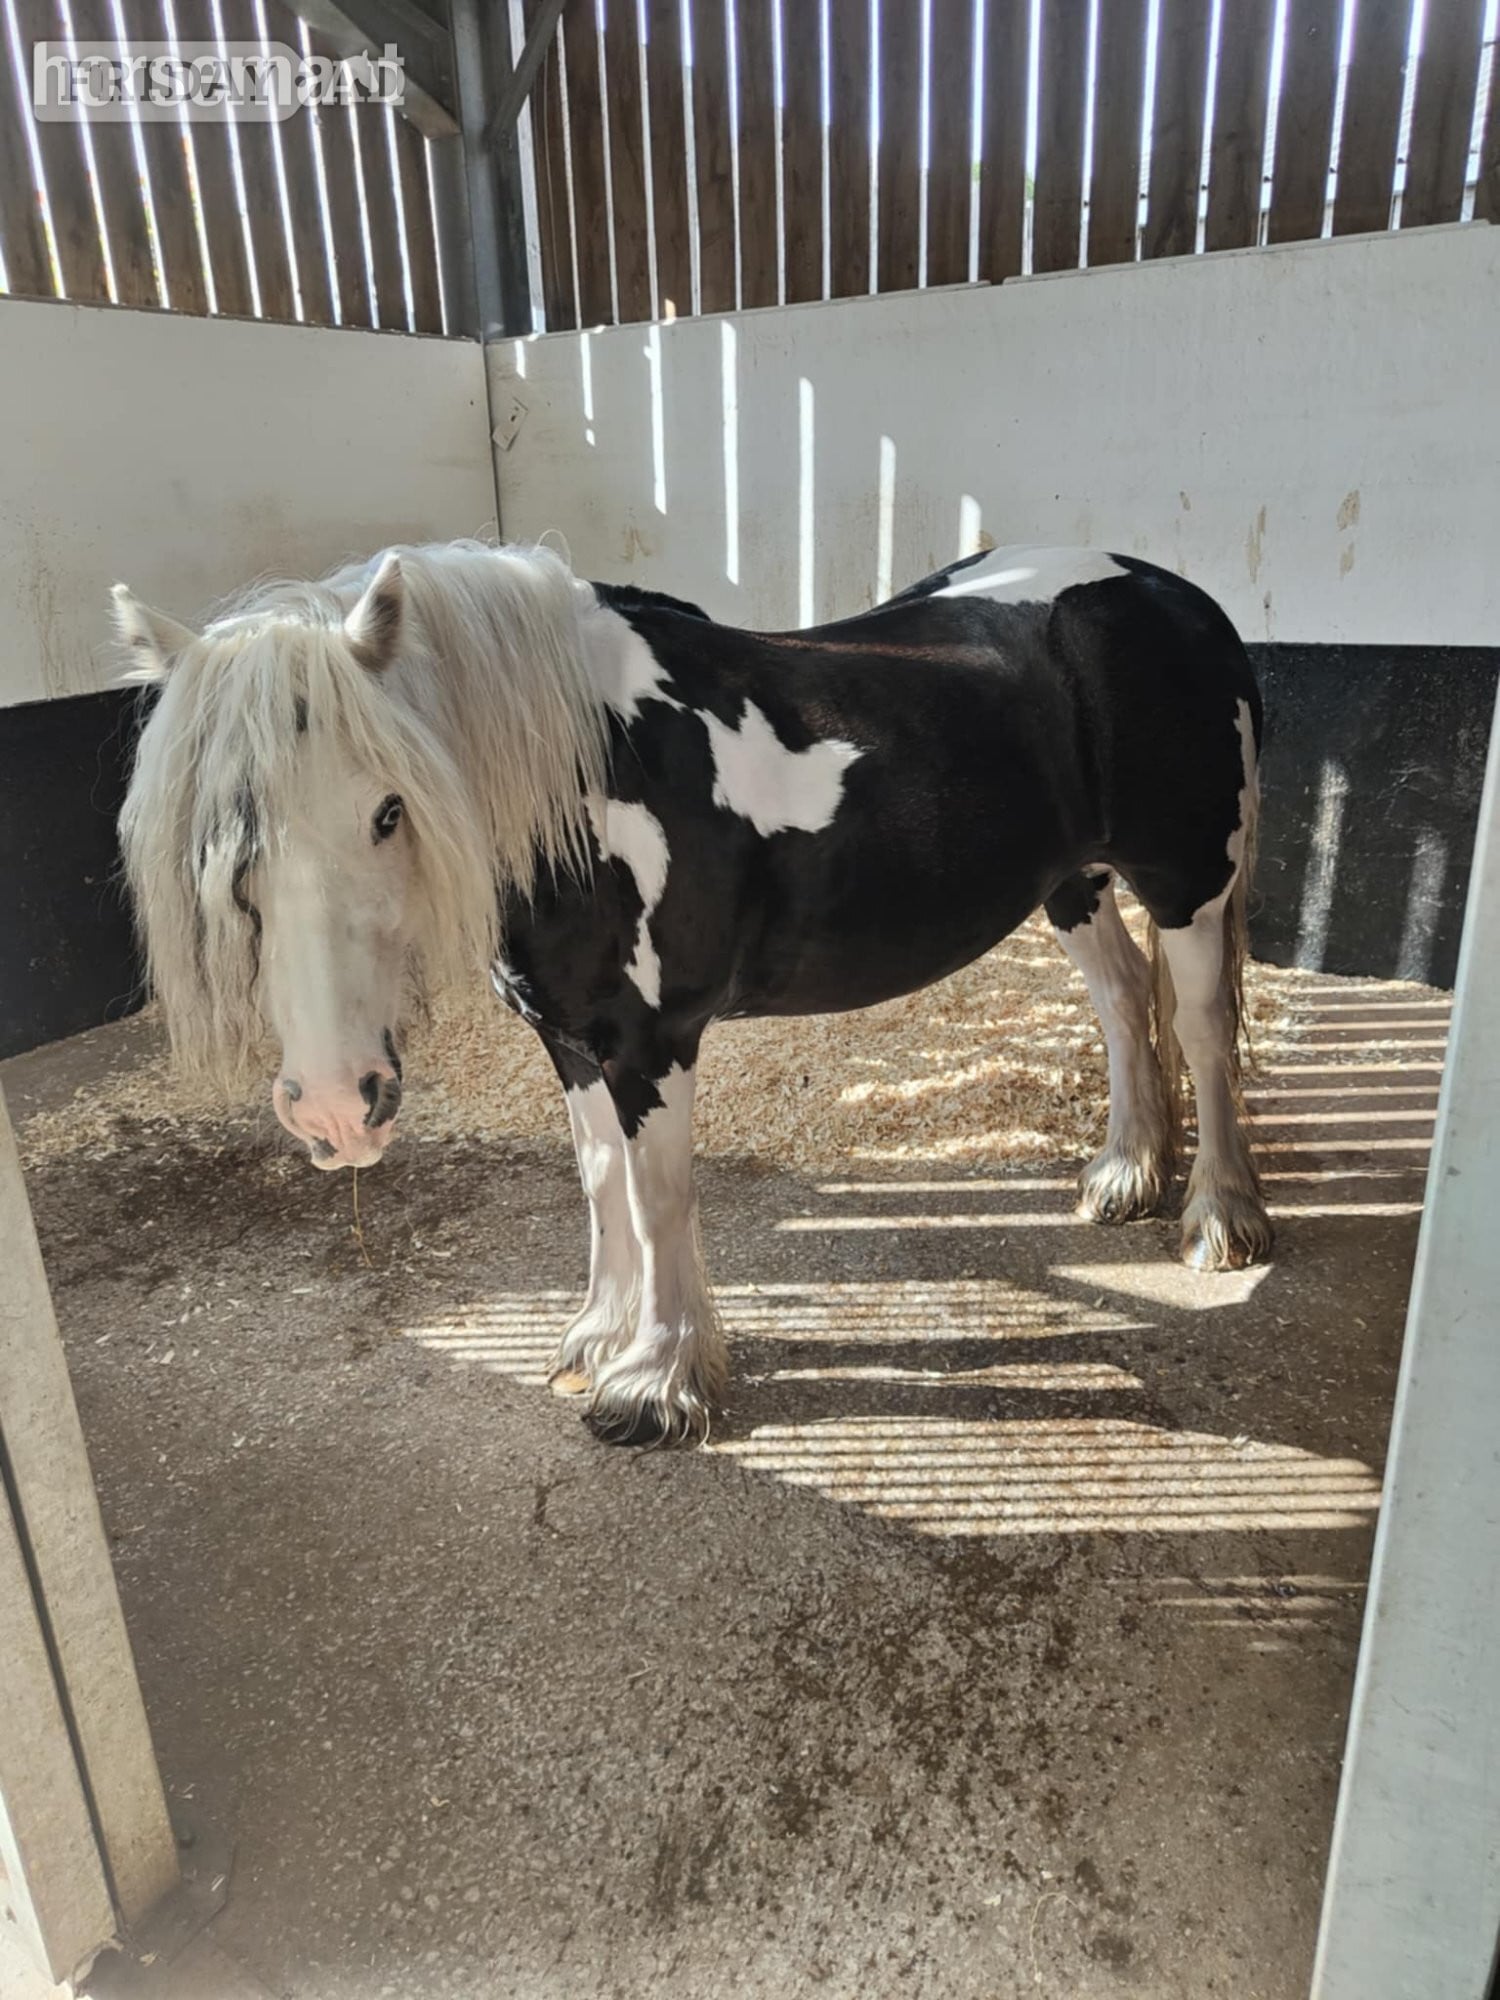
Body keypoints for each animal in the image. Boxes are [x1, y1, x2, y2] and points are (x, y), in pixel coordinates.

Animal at [115, 538, 1271, 1446]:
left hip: (1187, 884)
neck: (584, 776)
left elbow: (658, 1195)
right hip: (1073, 883)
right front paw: (599, 1336)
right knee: (1122, 1001)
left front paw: (656, 1383)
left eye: (389, 809)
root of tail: (1170, 592)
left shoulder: (650, 1042)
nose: (334, 1107)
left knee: (1203, 1028)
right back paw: (1126, 1173)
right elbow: (599, 1182)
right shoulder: (570, 1040)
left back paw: (1219, 1217)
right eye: (223, 844)